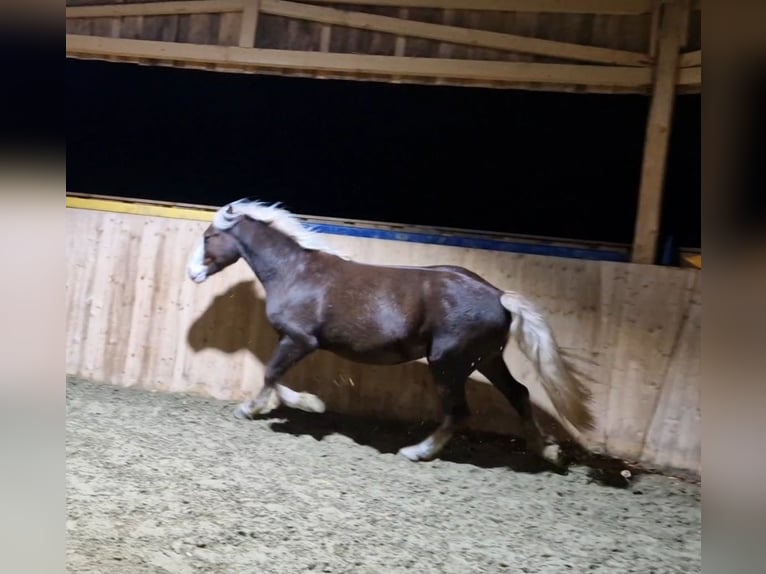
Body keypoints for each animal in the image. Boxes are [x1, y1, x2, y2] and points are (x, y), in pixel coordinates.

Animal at [186, 198, 595, 465]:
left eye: (208, 238)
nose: (192, 274)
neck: (295, 273)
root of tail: (499, 296)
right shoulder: (293, 341)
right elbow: (272, 375)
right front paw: (270, 406)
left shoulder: (300, 339)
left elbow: (271, 373)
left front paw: (281, 406)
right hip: (486, 359)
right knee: (519, 393)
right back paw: (546, 450)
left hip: (448, 362)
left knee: (459, 411)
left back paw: (417, 451)